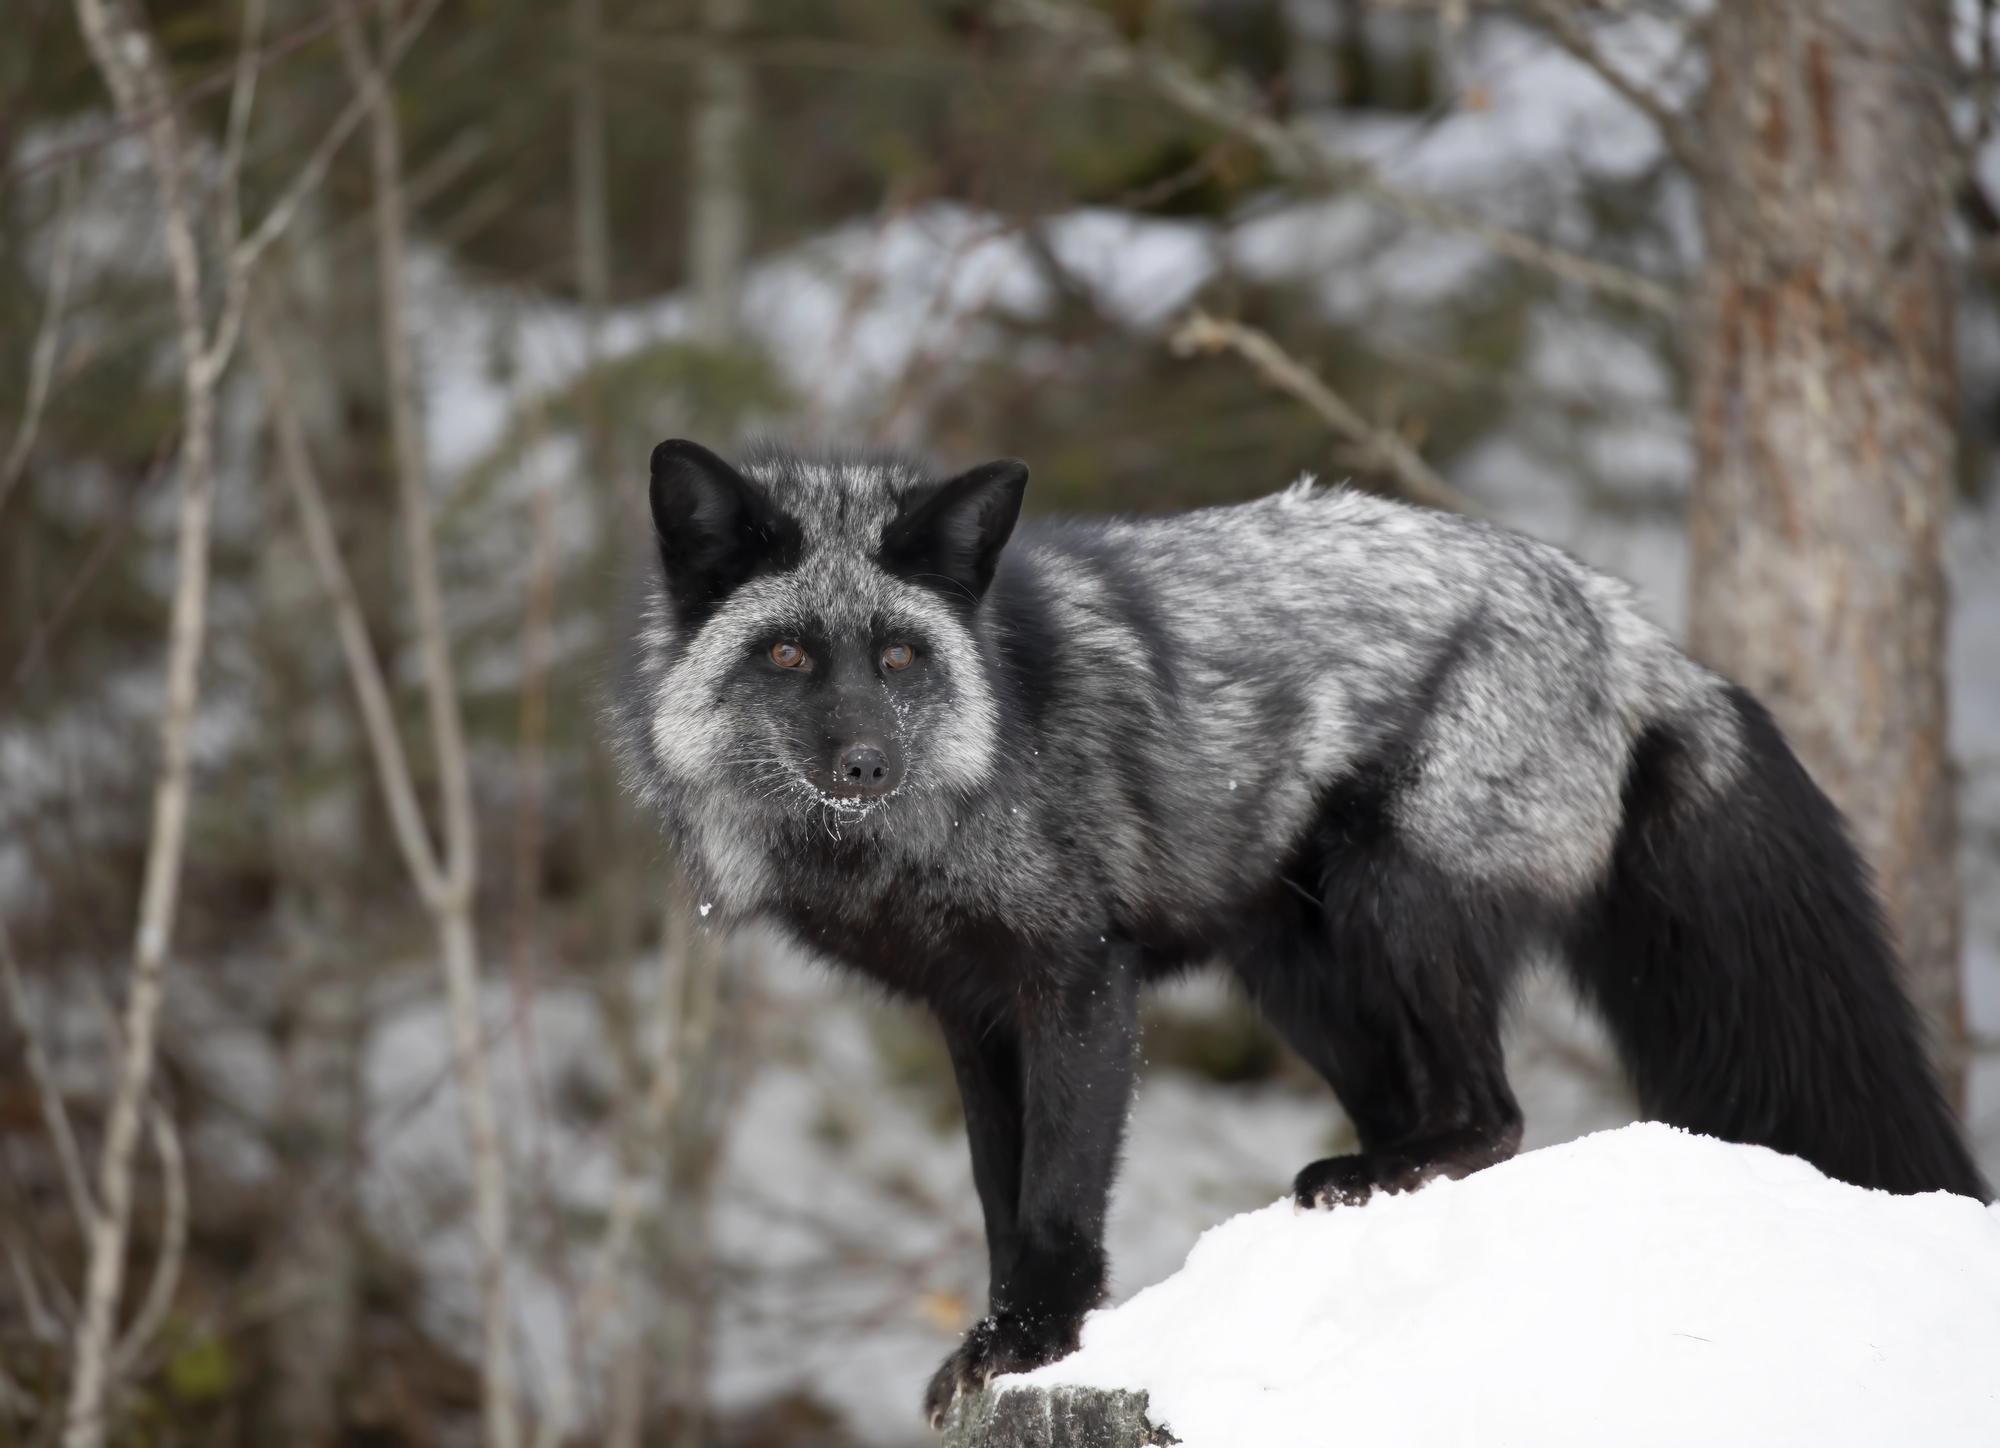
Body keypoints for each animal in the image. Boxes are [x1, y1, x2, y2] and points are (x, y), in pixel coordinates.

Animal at [614, 439, 1989, 1426]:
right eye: (789, 654)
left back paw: (1393, 1169)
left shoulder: (1077, 976)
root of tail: (1625, 619)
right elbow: (996, 1197)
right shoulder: (967, 1008)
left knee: (1491, 1114)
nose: (864, 761)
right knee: (1420, 1107)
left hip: (1398, 900)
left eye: (899, 656)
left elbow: (1053, 1196)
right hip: (1298, 977)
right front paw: (998, 1345)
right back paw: (1358, 1185)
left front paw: (1033, 1339)